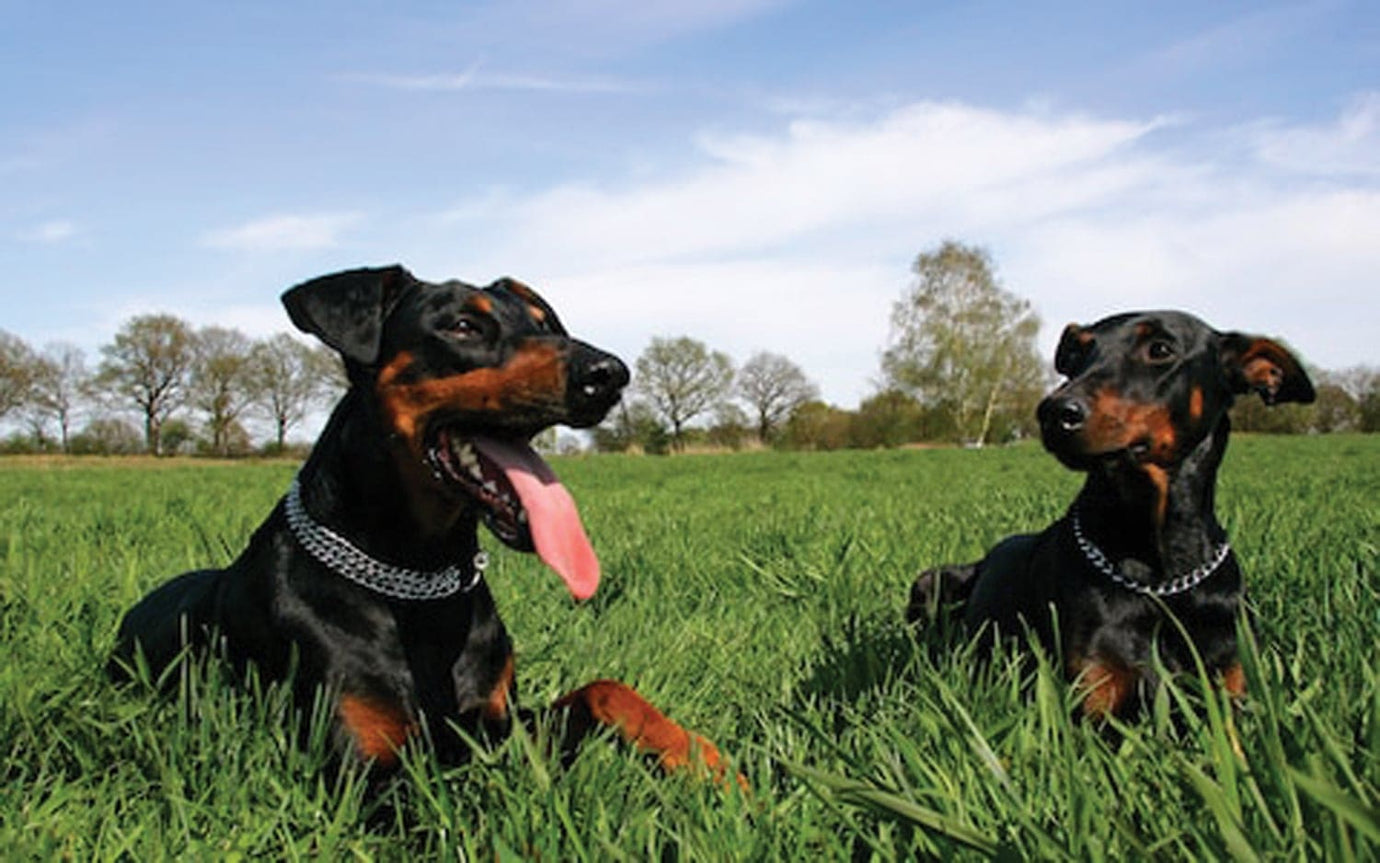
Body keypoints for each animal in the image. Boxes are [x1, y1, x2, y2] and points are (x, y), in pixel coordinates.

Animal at [905, 313, 1313, 718]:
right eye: (1076, 354)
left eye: (1160, 349)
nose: (1053, 412)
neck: (1163, 578)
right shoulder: (1096, 695)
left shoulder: (1235, 682)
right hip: (929, 582)